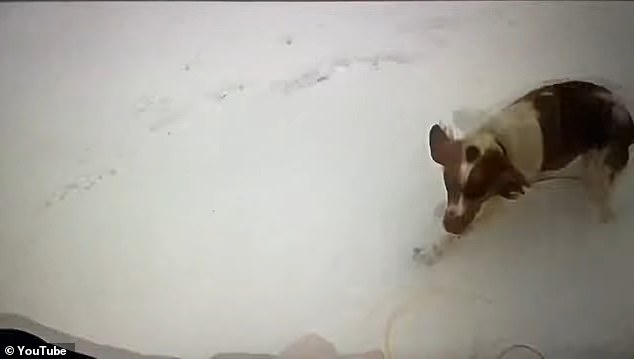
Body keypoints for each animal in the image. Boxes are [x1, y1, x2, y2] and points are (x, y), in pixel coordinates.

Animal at [414, 80, 632, 262]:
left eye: (479, 192)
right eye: (448, 185)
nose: (449, 225)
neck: (498, 142)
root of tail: (624, 113)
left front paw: (432, 250)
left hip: (601, 168)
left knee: (603, 195)